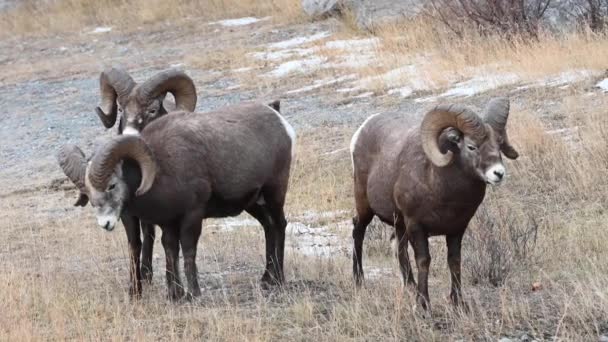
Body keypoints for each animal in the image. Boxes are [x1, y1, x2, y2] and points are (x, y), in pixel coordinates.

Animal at [58, 101, 296, 300]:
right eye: (88, 193)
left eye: (112, 185)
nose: (105, 223)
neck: (162, 168)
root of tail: (279, 119)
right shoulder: (168, 223)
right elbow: (170, 250)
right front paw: (174, 295)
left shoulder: (192, 215)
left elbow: (188, 250)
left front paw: (193, 294)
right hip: (254, 203)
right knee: (268, 228)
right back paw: (266, 279)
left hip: (275, 193)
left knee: (279, 225)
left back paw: (279, 280)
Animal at [350, 97, 520, 312]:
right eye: (471, 146)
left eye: (498, 144)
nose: (498, 173)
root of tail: (361, 131)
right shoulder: (416, 226)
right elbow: (424, 261)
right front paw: (423, 305)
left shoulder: (457, 229)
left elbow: (454, 262)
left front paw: (458, 303)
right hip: (365, 206)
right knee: (358, 232)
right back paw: (359, 281)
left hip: (399, 223)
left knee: (398, 246)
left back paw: (410, 286)